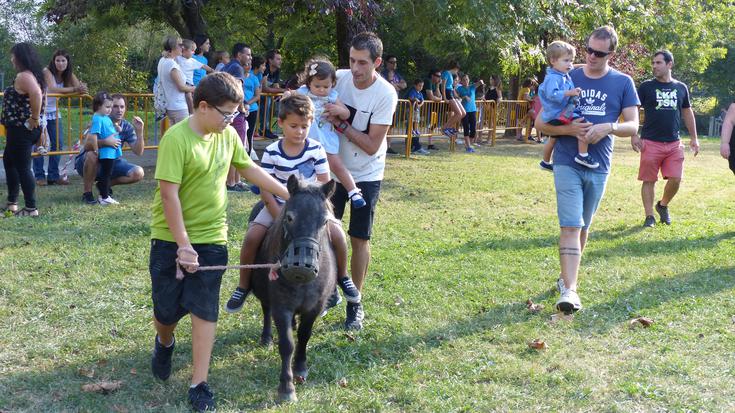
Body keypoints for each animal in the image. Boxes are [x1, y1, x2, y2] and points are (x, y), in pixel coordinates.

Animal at [250, 175, 336, 402]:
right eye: (289, 218)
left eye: (325, 221)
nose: (301, 267)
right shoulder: (282, 308)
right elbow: (287, 344)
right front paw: (286, 388)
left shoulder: (314, 307)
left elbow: (304, 336)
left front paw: (300, 367)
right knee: (266, 311)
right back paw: (266, 338)